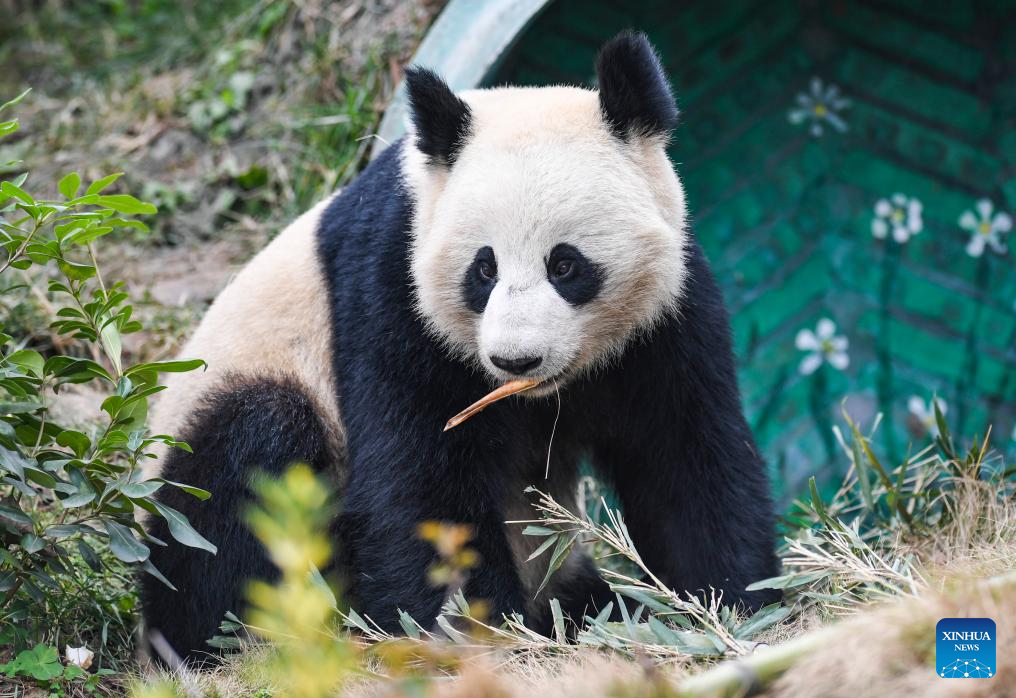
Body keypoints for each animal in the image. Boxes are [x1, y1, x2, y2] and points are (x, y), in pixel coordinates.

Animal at [143, 32, 776, 662]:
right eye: (484, 269)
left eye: (565, 264)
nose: (517, 360)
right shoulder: (392, 294)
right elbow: (420, 483)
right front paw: (479, 635)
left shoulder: (663, 314)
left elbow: (683, 454)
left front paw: (728, 608)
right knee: (246, 466)